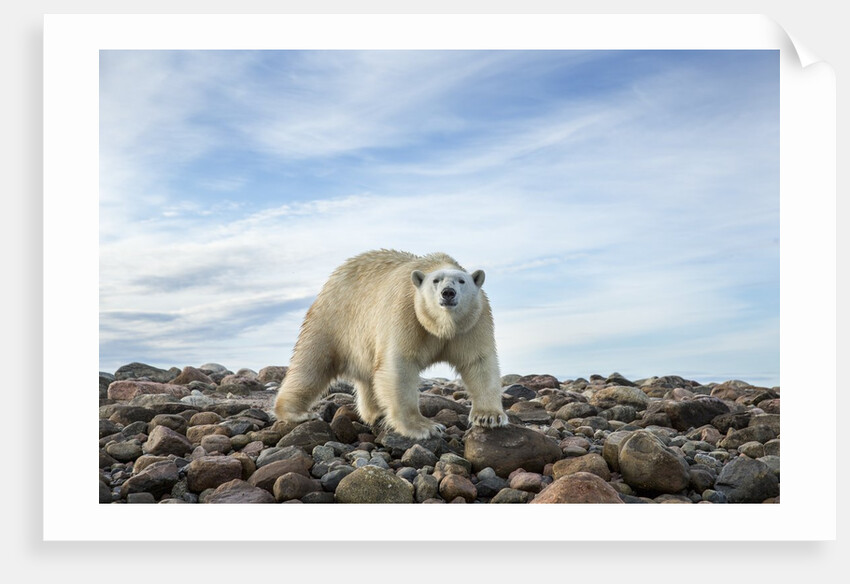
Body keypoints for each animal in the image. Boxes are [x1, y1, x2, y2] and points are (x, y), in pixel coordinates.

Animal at [273, 249, 508, 439]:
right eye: (436, 281)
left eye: (461, 281)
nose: (448, 293)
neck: (442, 325)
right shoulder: (406, 311)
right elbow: (399, 365)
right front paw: (425, 427)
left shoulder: (472, 321)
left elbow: (478, 361)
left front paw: (489, 417)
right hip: (333, 318)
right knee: (312, 363)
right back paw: (298, 412)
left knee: (368, 377)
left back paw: (376, 413)